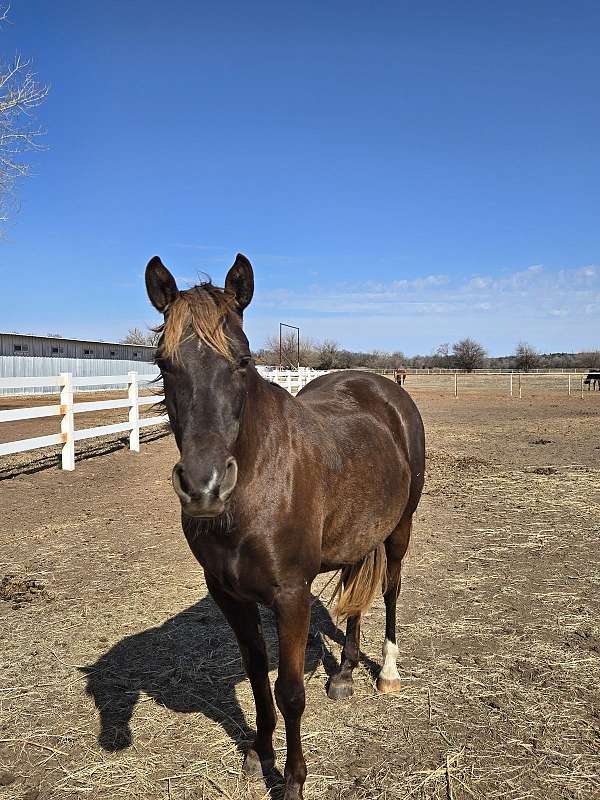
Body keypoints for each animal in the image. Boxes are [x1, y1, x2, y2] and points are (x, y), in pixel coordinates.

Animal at [145, 253, 425, 800]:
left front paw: (293, 779)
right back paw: (344, 673)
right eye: (164, 364)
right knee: (355, 594)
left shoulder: (291, 595)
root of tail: (383, 388)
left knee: (390, 590)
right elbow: (257, 678)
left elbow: (290, 691)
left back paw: (387, 672)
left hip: (399, 529)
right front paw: (260, 751)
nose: (204, 486)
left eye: (242, 360)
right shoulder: (229, 595)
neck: (256, 486)